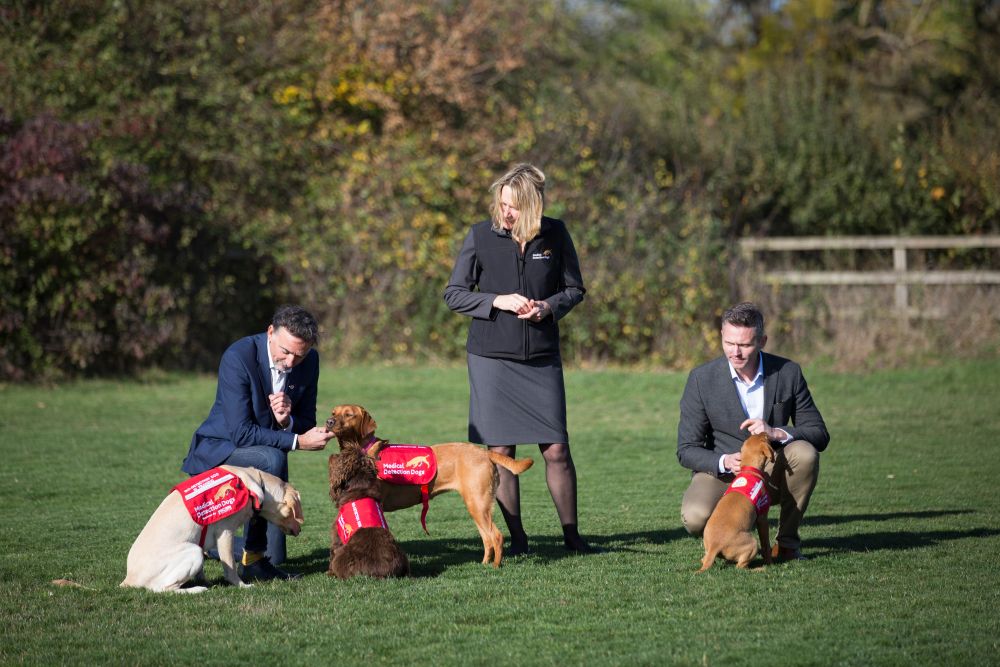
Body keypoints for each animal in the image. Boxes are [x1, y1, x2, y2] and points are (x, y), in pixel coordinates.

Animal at [121, 464, 302, 596]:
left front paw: (205, 580)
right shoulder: (225, 533)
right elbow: (231, 567)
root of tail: (129, 579)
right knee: (160, 588)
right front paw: (242, 586)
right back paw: (196, 590)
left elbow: (202, 571)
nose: (300, 530)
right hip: (193, 551)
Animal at [326, 404, 532, 568]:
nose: (328, 421)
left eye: (349, 414)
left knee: (496, 536)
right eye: (334, 412)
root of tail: (484, 452)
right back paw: (484, 563)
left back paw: (496, 566)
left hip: (478, 503)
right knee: (487, 538)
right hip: (477, 506)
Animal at [700, 434, 776, 576]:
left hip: (707, 548)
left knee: (704, 559)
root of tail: (714, 546)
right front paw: (770, 563)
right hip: (752, 543)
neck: (749, 470)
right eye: (766, 437)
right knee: (740, 567)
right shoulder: (762, 517)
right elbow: (766, 544)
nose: (767, 432)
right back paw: (759, 568)